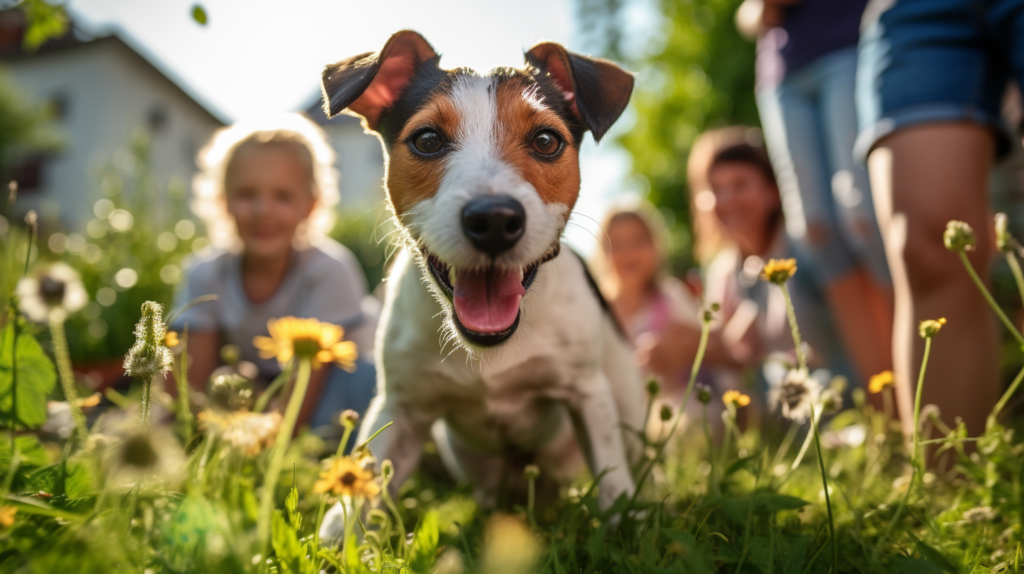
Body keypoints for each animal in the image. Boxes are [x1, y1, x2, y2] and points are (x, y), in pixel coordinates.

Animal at [317, 30, 638, 509]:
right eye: (427, 140)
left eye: (546, 141)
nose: (495, 220)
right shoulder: (400, 410)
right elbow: (357, 499)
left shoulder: (588, 396)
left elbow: (616, 486)